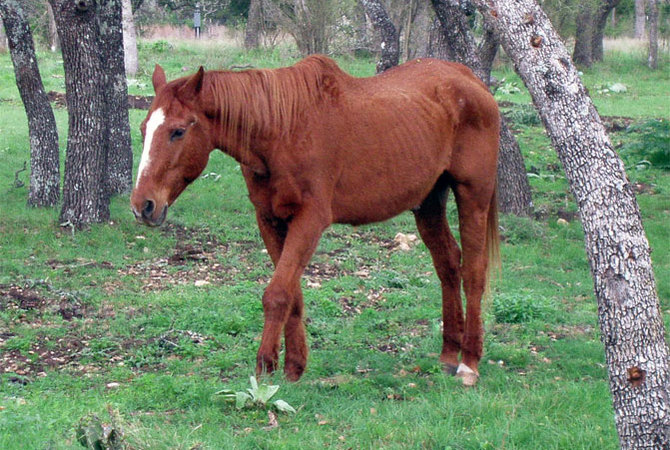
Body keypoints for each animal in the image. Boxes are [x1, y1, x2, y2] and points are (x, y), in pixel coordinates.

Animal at [130, 55, 498, 386]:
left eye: (178, 131)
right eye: (144, 129)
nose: (142, 206)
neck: (282, 130)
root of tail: (473, 82)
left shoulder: (310, 220)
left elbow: (277, 293)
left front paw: (264, 369)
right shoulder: (270, 221)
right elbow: (291, 296)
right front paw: (293, 367)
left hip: (473, 197)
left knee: (473, 273)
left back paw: (469, 363)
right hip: (429, 203)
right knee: (448, 265)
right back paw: (448, 355)